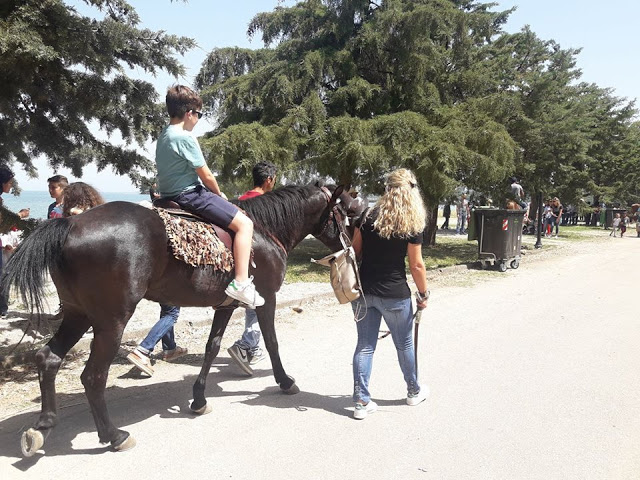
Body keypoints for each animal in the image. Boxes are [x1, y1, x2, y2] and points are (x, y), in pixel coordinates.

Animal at [2, 182, 362, 456]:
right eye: (346, 212)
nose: (352, 246)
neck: (264, 231)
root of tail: (70, 225)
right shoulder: (267, 299)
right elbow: (271, 342)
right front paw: (285, 381)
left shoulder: (225, 306)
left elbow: (212, 348)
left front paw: (199, 399)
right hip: (110, 321)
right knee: (92, 376)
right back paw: (114, 435)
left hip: (78, 314)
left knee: (48, 358)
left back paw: (43, 426)